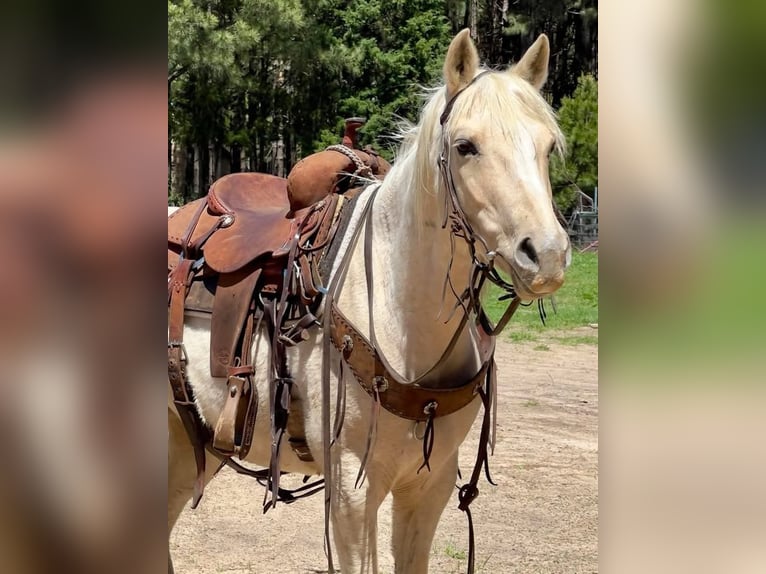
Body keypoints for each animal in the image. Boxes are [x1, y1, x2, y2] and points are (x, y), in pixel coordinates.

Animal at [168, 29, 570, 574]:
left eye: (547, 145)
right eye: (465, 146)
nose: (547, 255)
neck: (403, 317)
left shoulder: (429, 486)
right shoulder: (352, 493)